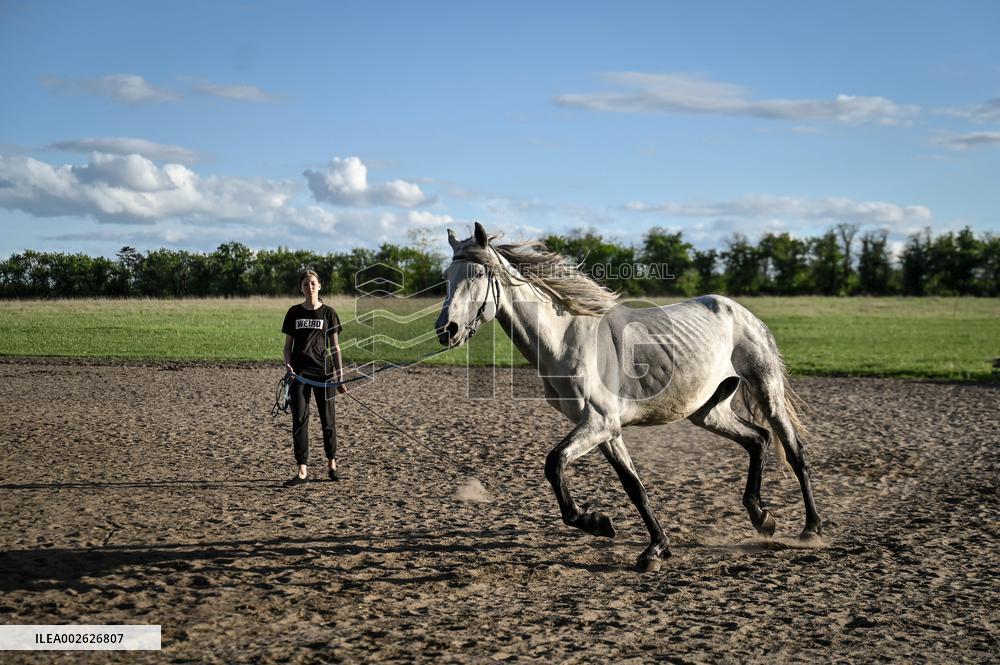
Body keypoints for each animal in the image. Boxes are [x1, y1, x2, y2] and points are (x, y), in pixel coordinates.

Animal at [435, 222, 822, 572]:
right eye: (447, 278)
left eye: (477, 274)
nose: (446, 330)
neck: (567, 340)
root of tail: (740, 311)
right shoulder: (606, 429)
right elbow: (633, 486)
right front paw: (654, 547)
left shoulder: (600, 422)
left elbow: (554, 462)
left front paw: (595, 522)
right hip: (708, 411)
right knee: (758, 439)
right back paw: (762, 518)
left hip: (766, 390)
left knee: (794, 451)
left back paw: (811, 529)